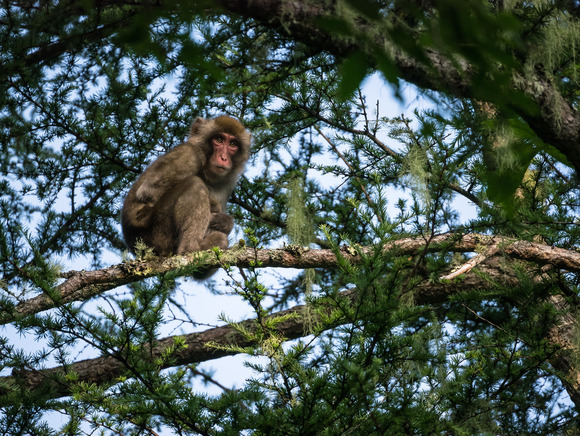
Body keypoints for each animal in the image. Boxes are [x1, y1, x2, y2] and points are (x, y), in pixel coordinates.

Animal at [121, 115, 250, 272]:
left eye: (232, 144)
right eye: (219, 139)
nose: (224, 158)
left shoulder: (227, 183)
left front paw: (225, 222)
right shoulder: (188, 155)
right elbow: (149, 191)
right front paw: (217, 212)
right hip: (156, 235)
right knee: (194, 184)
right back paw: (191, 249)